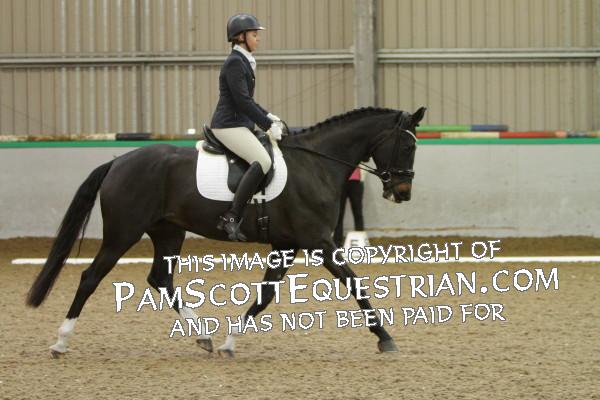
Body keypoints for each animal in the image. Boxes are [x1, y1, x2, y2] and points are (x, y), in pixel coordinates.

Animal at [27, 106, 426, 357]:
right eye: (407, 145)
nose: (403, 192)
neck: (316, 164)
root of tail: (117, 161)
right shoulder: (319, 242)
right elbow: (354, 283)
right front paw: (385, 337)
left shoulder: (286, 245)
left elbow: (265, 295)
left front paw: (231, 340)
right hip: (122, 233)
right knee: (91, 277)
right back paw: (61, 342)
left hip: (168, 232)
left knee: (160, 279)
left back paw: (203, 336)